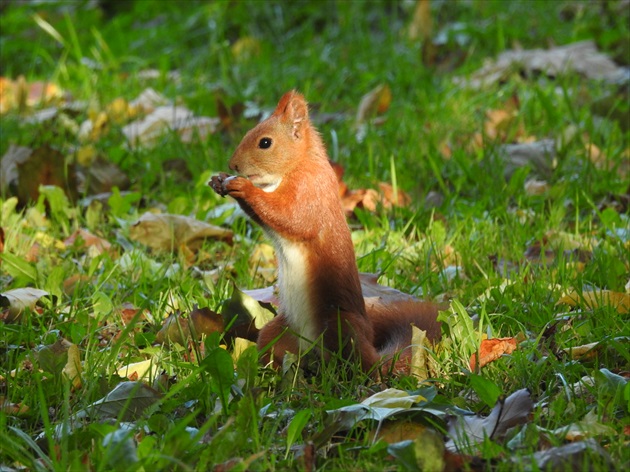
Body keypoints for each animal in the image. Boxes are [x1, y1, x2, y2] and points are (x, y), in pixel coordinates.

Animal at [210, 90, 442, 374]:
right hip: (279, 330)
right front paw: (219, 181)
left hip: (339, 324)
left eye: (265, 142)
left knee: (354, 363)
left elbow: (292, 218)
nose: (233, 165)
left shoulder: (310, 189)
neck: (298, 164)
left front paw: (244, 188)